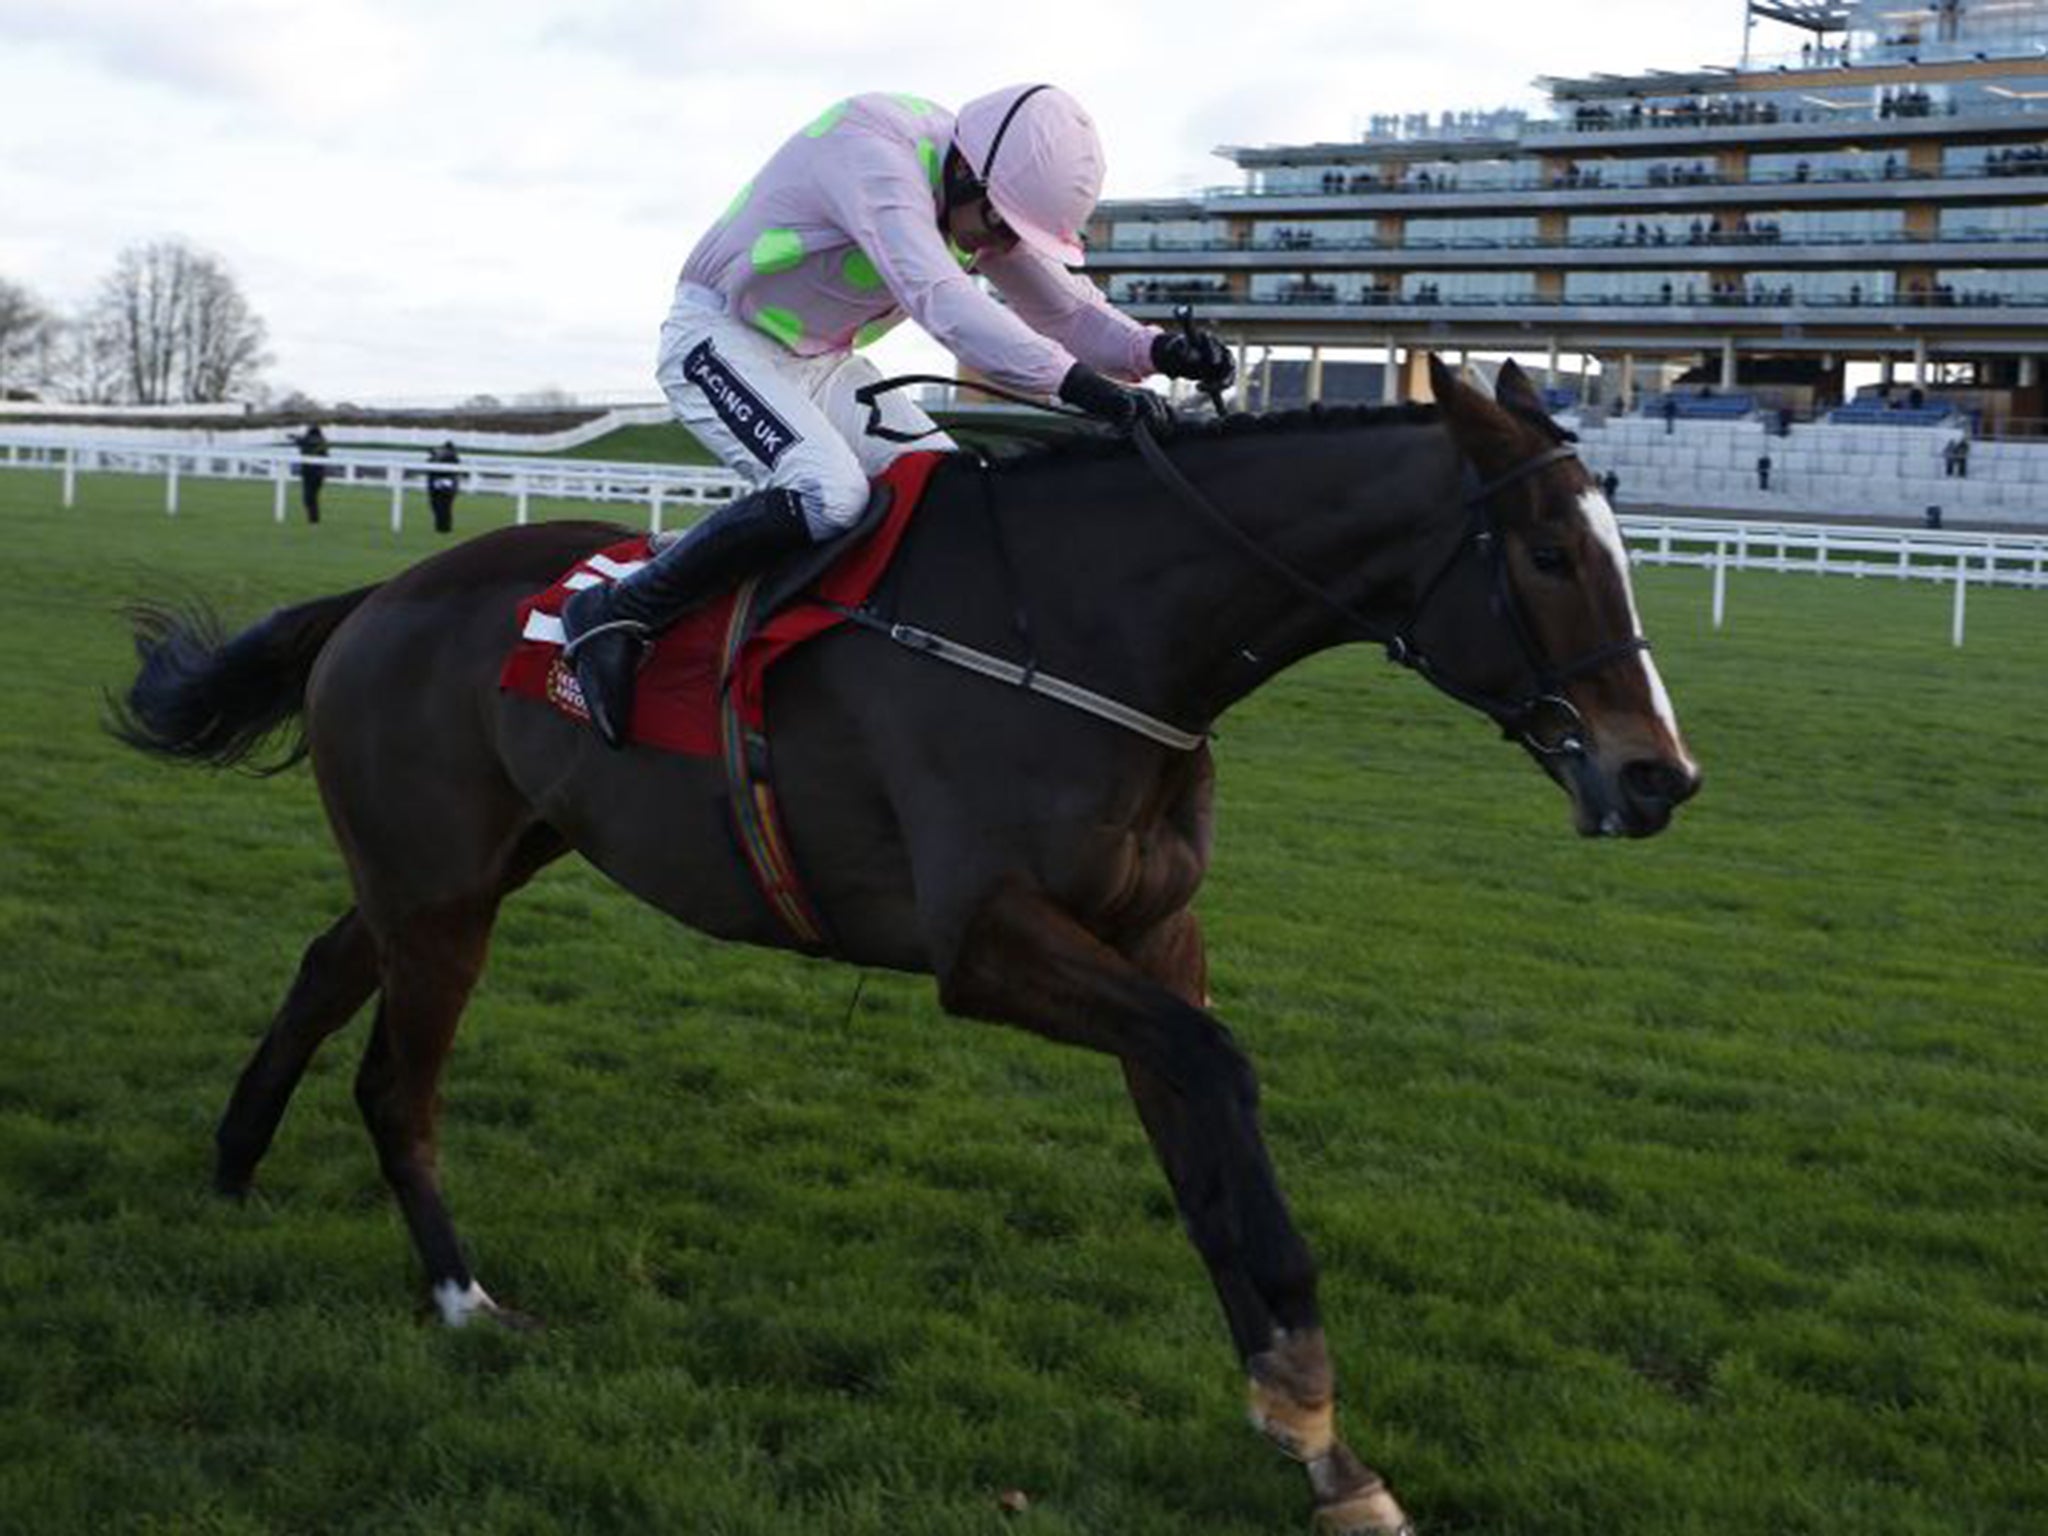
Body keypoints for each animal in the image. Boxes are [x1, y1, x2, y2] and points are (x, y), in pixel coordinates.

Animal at [108, 354, 1695, 1531]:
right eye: (1548, 552)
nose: (1657, 778)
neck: (1094, 631)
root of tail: (379, 598)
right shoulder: (983, 946)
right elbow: (1219, 1068)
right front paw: (1303, 1390)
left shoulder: (1151, 935)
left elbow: (1206, 1150)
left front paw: (1317, 1444)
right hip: (442, 892)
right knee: (398, 1085)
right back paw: (459, 1295)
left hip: (462, 865)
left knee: (328, 969)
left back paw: (235, 1162)